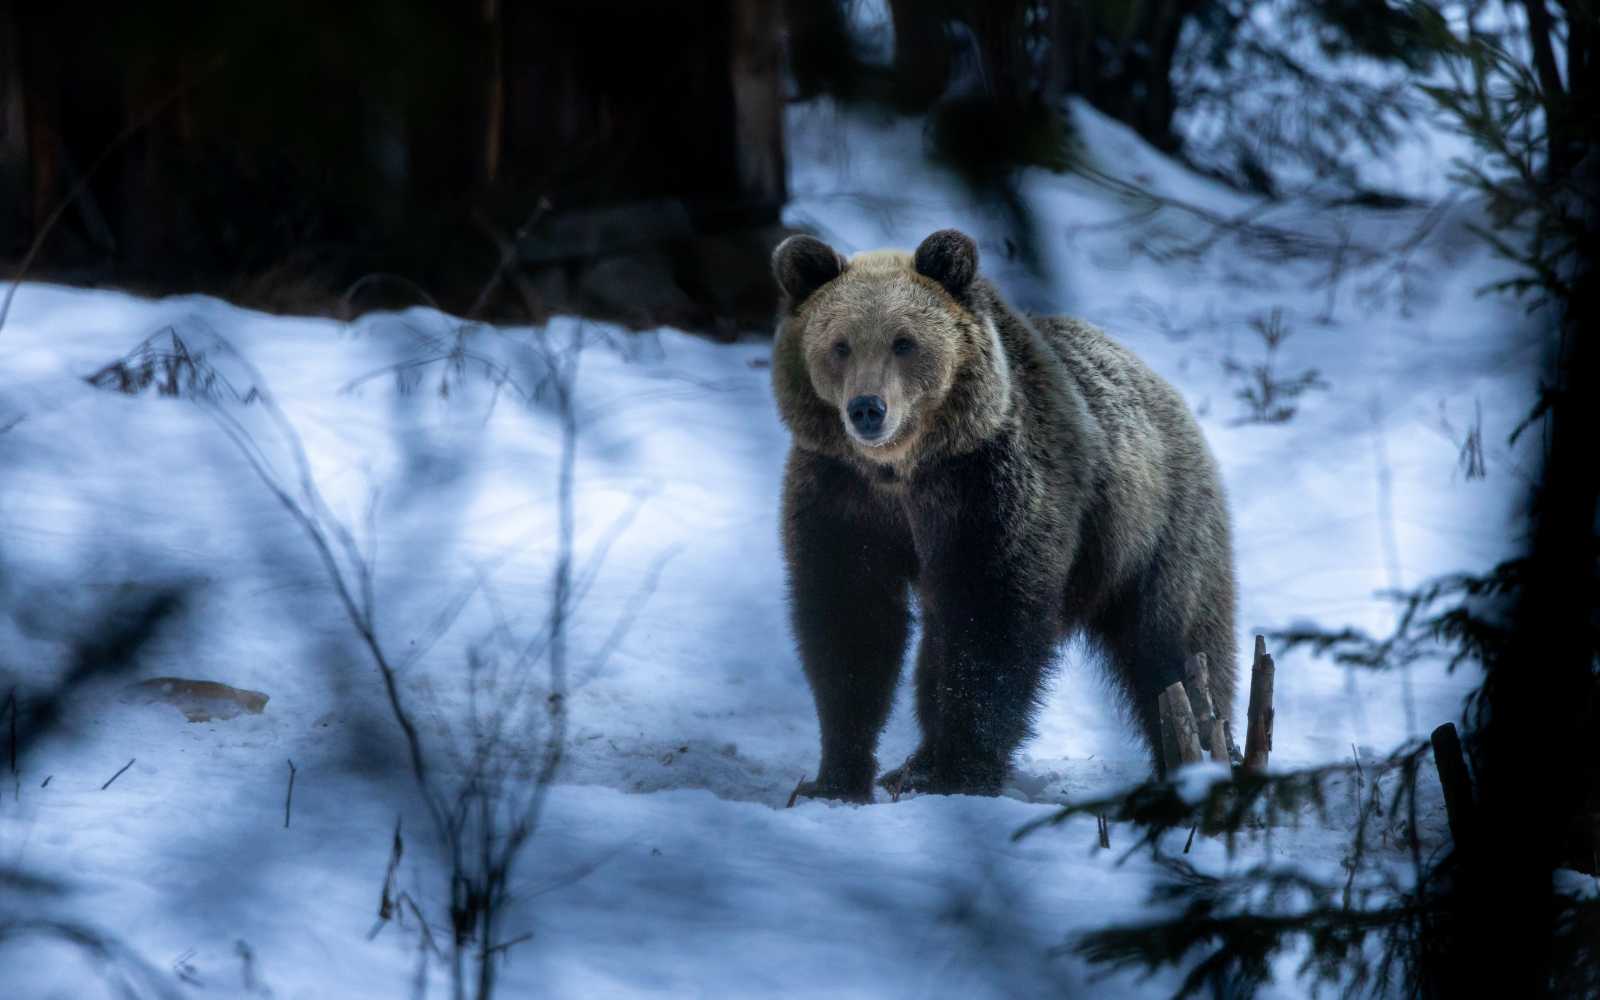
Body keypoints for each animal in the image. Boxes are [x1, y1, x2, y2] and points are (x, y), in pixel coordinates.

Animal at [771, 230, 1235, 800]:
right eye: (840, 344)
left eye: (904, 342)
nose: (867, 408)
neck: (903, 471)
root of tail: (1162, 386)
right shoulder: (842, 498)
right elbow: (850, 623)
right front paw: (835, 777)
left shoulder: (989, 493)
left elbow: (990, 625)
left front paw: (960, 771)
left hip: (1156, 532)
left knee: (1175, 652)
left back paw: (1202, 759)